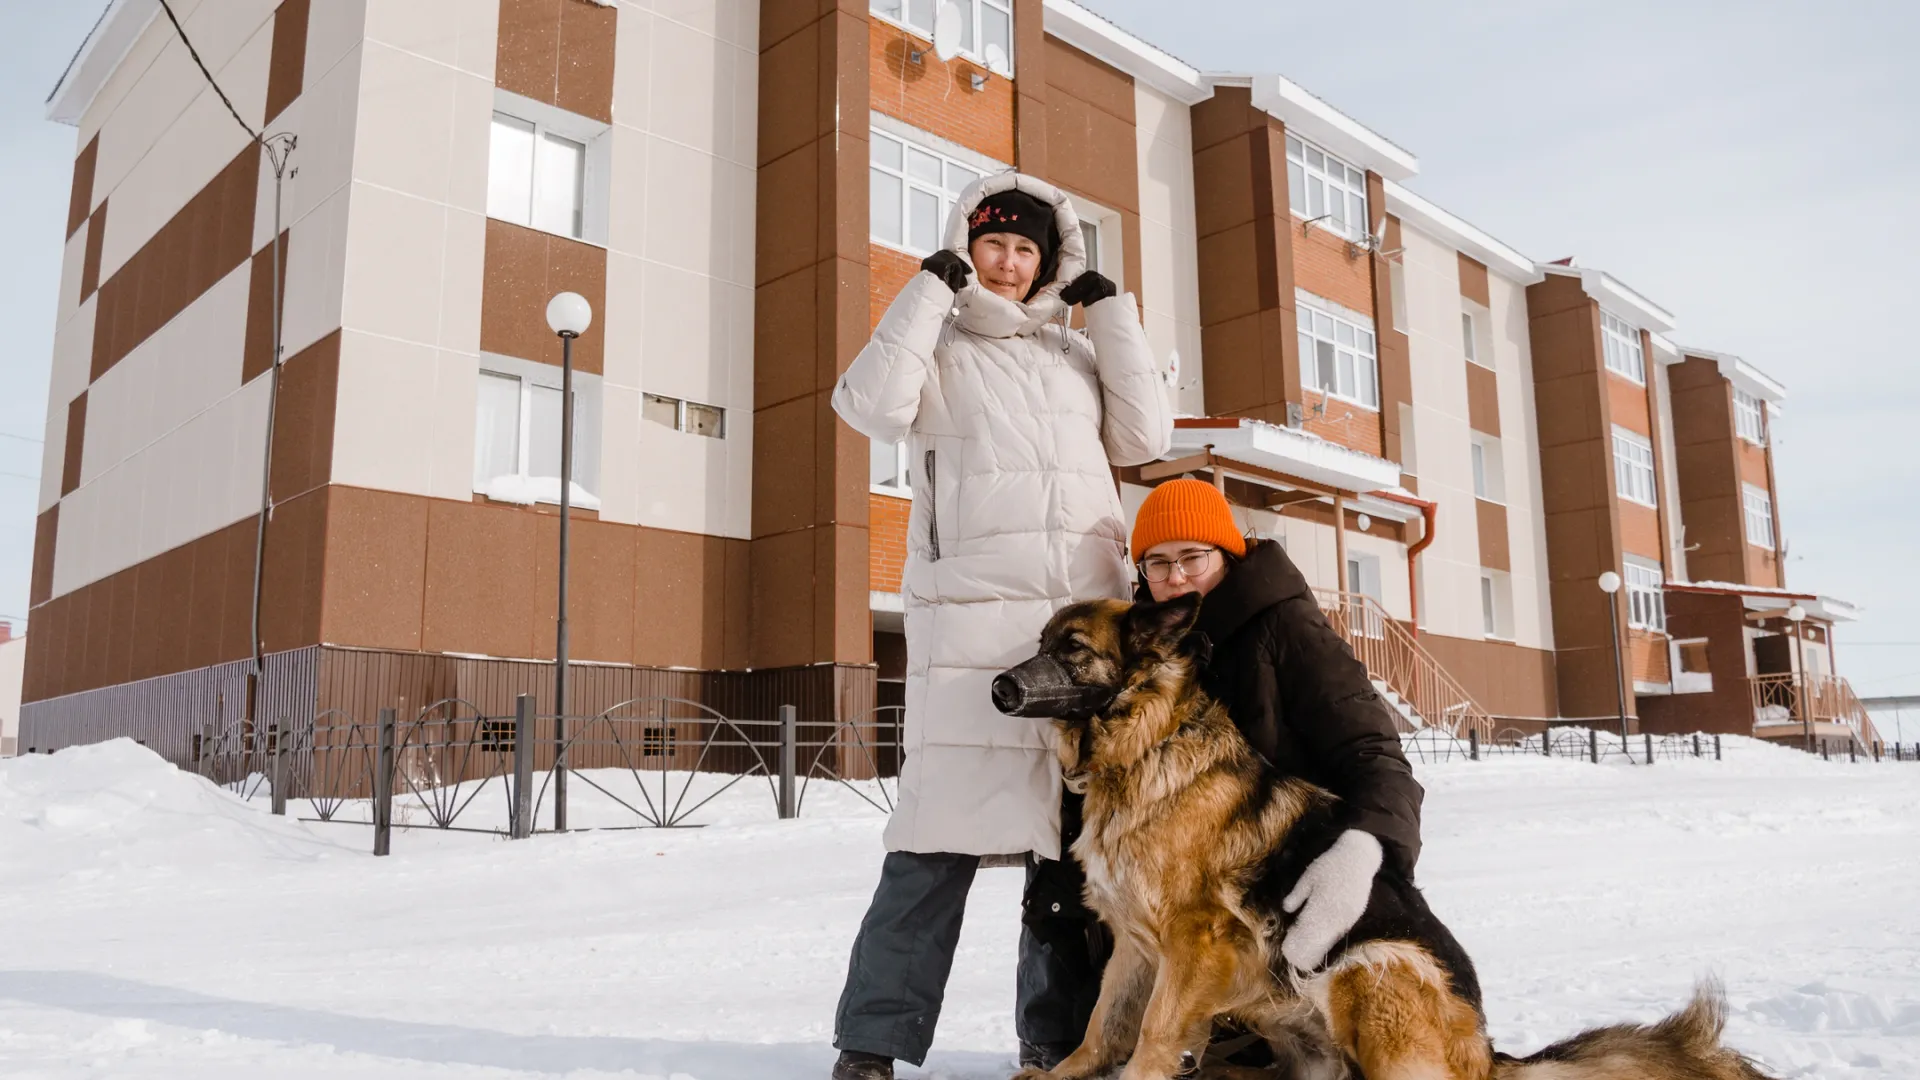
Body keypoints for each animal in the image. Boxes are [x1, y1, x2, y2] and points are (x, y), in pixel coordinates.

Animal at [998, 591, 1774, 1076]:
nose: (1001, 687)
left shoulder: (1199, 943)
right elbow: (1104, 1025)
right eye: (1040, 643)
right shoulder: (1135, 945)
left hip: (1367, 969)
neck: (1143, 751)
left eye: (1073, 648)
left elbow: (1155, 1033)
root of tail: (1488, 1056)